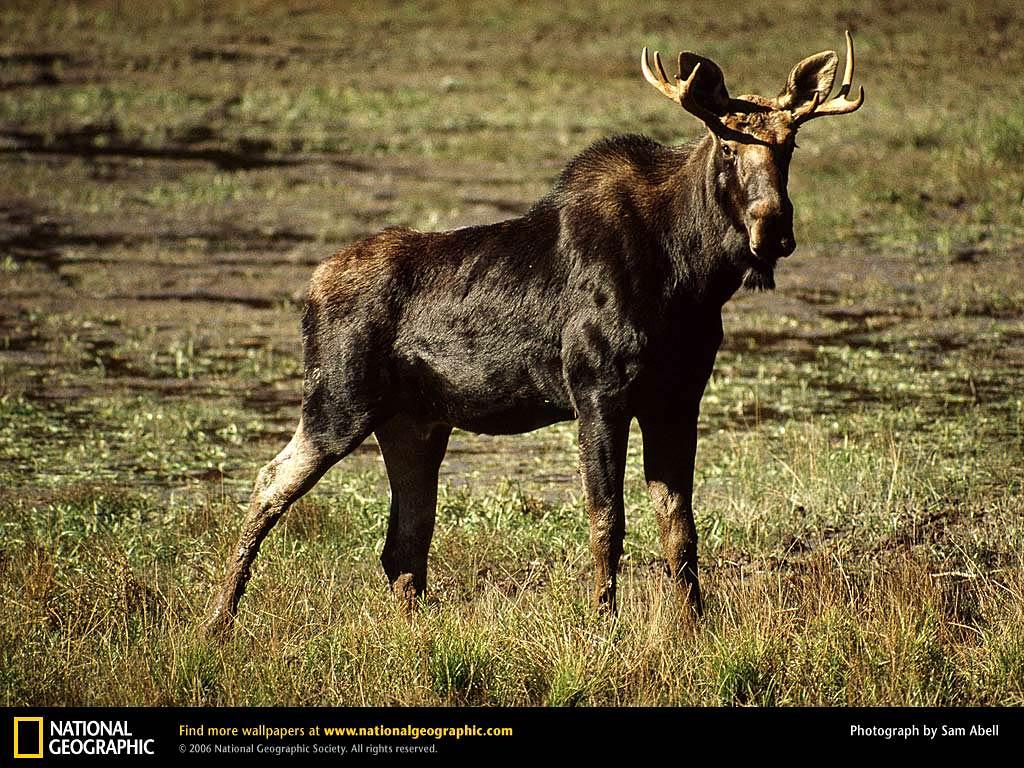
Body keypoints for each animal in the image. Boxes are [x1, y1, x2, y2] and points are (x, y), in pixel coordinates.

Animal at [206, 32, 863, 635]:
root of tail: (311, 290)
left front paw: (694, 626)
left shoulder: (679, 397)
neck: (693, 279)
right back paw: (217, 621)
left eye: (791, 144)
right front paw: (603, 625)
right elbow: (607, 519)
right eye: (728, 143)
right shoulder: (597, 390)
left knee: (404, 541)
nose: (773, 230)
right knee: (271, 481)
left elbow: (680, 523)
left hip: (413, 423)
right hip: (338, 402)